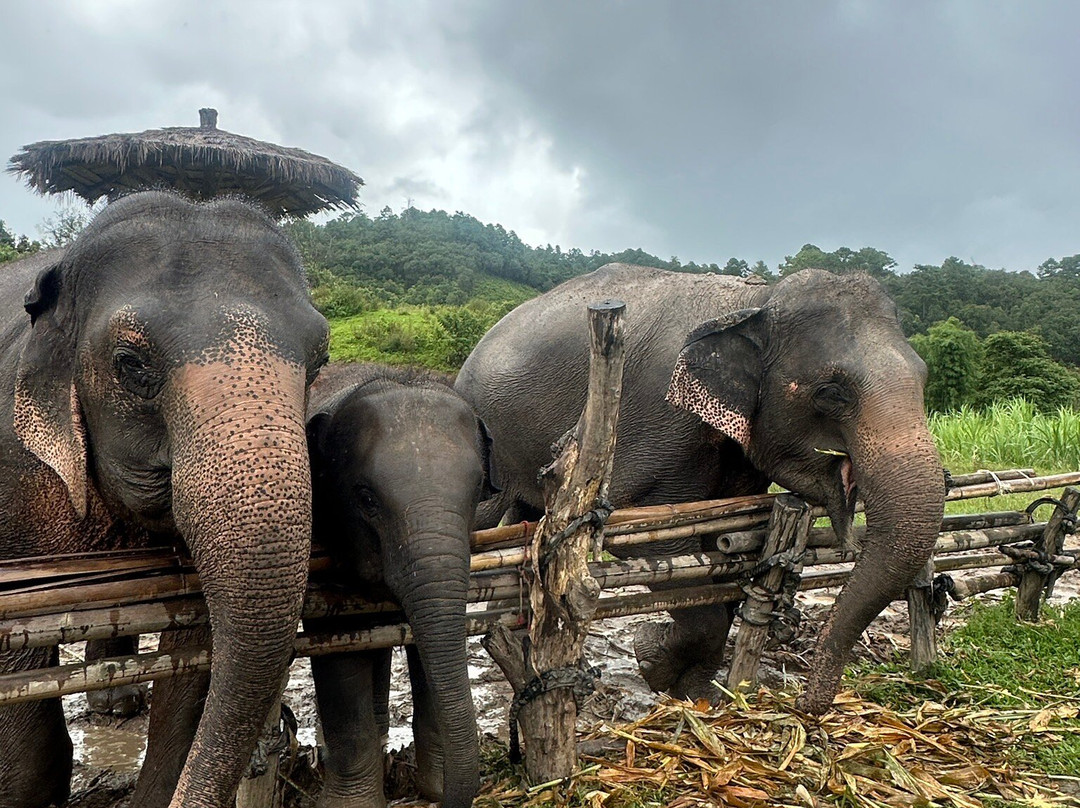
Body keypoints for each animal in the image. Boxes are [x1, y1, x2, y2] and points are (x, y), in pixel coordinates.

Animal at [305, 363, 498, 808]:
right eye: (366, 499)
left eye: (477, 490)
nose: (444, 801)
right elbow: (336, 648)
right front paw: (352, 805)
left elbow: (427, 644)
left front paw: (434, 786)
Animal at [454, 263, 945, 715]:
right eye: (831, 392)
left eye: (924, 377)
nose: (808, 703)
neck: (758, 300)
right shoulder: (655, 422)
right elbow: (654, 542)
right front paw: (652, 658)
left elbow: (725, 551)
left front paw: (695, 691)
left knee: (529, 519)